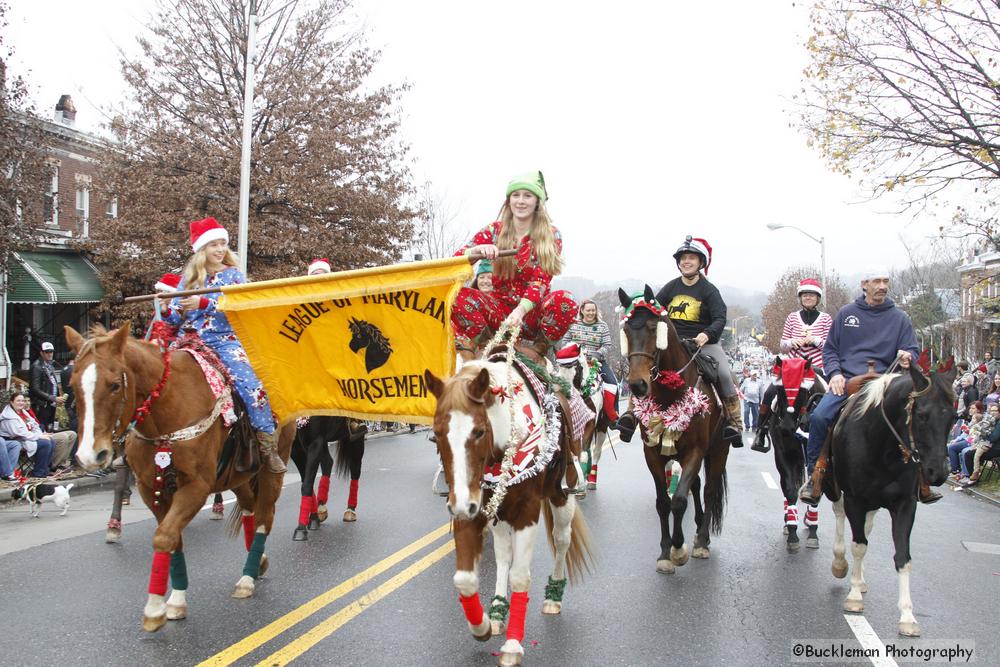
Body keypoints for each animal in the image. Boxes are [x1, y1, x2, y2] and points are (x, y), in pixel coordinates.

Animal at [64, 326, 292, 636]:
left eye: (113, 385)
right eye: (73, 384)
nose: (90, 455)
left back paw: (246, 579)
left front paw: (154, 609)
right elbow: (173, 539)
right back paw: (258, 563)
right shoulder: (151, 488)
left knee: (264, 518)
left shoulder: (195, 487)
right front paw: (175, 600)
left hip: (271, 471)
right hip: (238, 476)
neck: (167, 411)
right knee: (249, 508)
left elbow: (163, 537)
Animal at [616, 288, 728, 576]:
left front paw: (679, 549)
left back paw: (702, 540)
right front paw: (665, 553)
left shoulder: (695, 452)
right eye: (627, 331)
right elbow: (663, 503)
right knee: (697, 486)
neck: (670, 392)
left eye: (653, 328)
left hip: (718, 451)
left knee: (709, 490)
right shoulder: (653, 454)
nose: (637, 384)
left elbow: (678, 501)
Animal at [768, 358, 824, 556]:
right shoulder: (783, 455)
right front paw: (792, 533)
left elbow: (815, 489)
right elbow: (790, 489)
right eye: (779, 389)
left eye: (802, 390)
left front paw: (813, 532)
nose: (786, 427)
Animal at [824, 362, 956, 640]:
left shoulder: (905, 505)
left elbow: (903, 556)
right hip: (840, 491)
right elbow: (858, 546)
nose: (938, 473)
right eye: (922, 415)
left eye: (953, 417)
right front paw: (853, 597)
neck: (880, 443)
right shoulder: (855, 499)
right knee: (841, 517)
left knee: (866, 528)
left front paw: (907, 616)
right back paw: (840, 563)